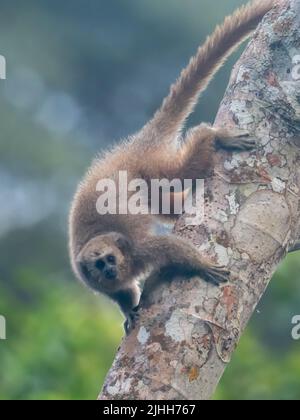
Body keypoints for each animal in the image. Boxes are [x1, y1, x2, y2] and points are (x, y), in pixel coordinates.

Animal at [69, 0, 276, 334]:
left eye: (110, 259)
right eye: (99, 264)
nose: (110, 270)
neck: (125, 260)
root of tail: (135, 145)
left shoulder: (139, 249)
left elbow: (167, 247)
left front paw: (200, 264)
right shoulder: (98, 283)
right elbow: (122, 293)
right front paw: (128, 312)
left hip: (150, 164)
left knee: (181, 173)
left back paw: (212, 136)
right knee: (164, 202)